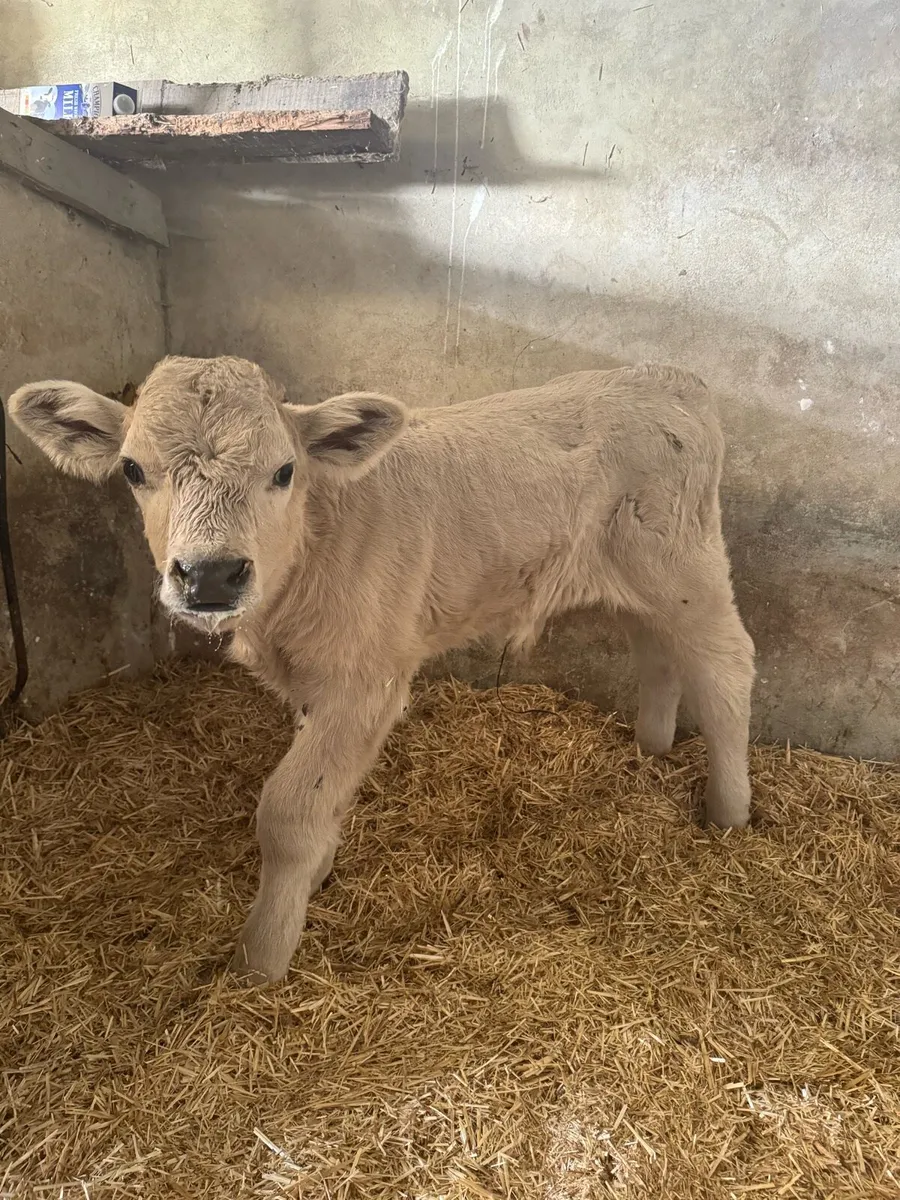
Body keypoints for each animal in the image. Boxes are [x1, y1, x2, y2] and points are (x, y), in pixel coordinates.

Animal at [10, 357, 755, 983]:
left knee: (726, 667)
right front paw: (322, 869)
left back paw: (730, 812)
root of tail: (668, 377)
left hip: (685, 565)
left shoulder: (367, 681)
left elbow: (288, 811)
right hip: (635, 578)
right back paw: (652, 747)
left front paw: (262, 961)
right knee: (658, 650)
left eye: (285, 471)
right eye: (134, 470)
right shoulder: (320, 684)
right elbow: (323, 790)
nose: (211, 574)